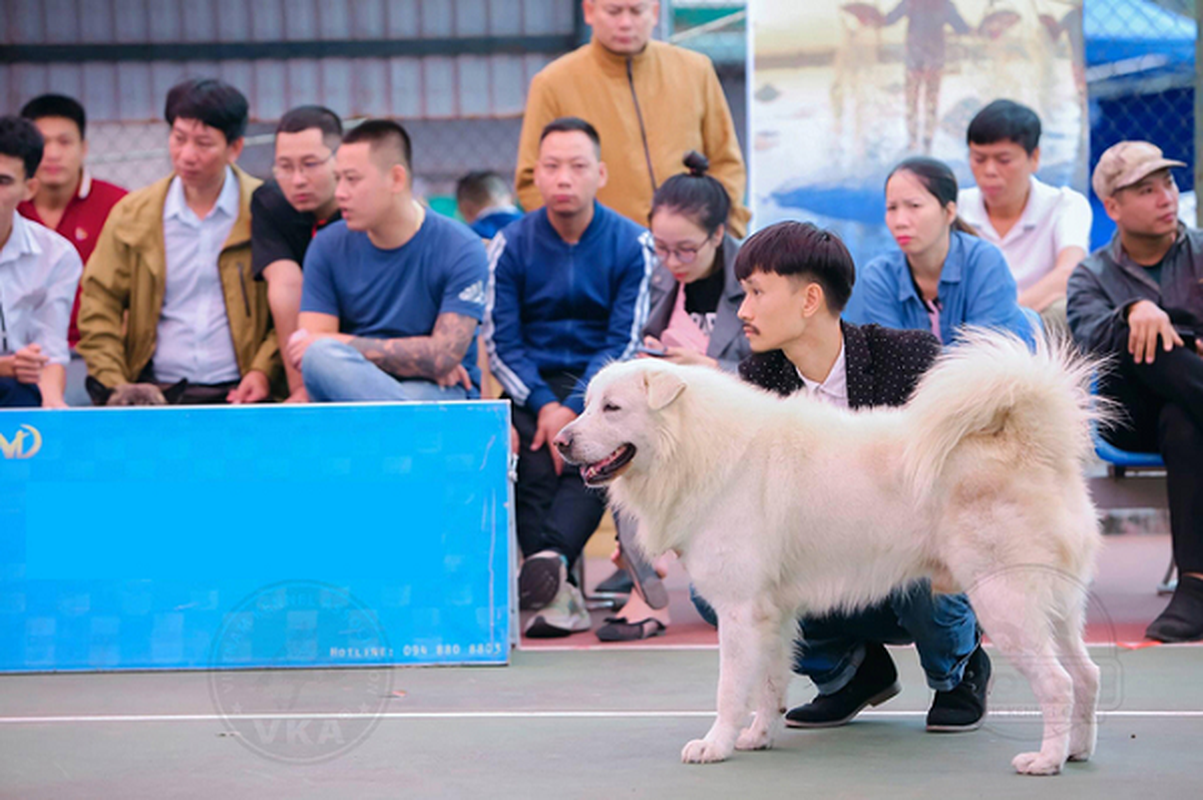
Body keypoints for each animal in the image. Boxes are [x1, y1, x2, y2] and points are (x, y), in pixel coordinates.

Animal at [558, 329, 1101, 774]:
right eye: (588, 405)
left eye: (611, 408)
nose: (561, 441)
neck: (696, 446)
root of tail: (1034, 444)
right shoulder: (771, 614)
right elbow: (769, 684)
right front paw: (757, 737)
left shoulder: (738, 611)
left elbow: (730, 690)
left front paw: (715, 746)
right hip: (1059, 609)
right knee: (1086, 675)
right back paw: (1077, 751)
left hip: (1005, 604)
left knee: (1058, 684)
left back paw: (1045, 761)